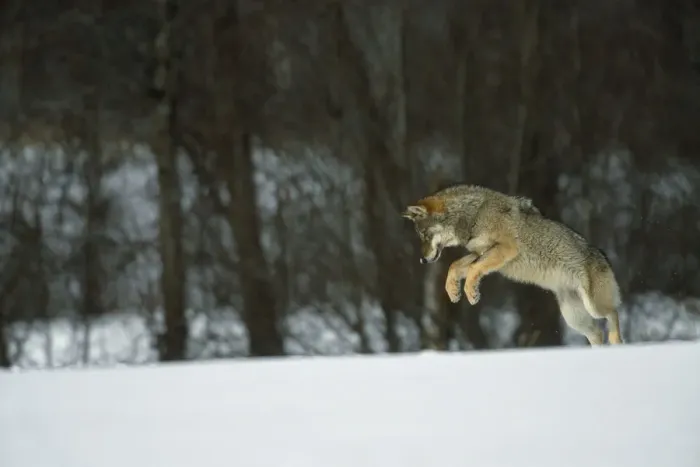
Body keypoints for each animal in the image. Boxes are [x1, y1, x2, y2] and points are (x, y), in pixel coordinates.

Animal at [401, 184, 623, 346]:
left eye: (424, 235)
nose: (422, 260)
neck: (474, 215)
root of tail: (604, 256)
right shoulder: (479, 252)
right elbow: (454, 267)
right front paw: (453, 292)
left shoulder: (505, 249)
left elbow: (472, 270)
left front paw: (471, 294)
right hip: (574, 318)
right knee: (597, 333)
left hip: (593, 308)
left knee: (614, 313)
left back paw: (616, 341)